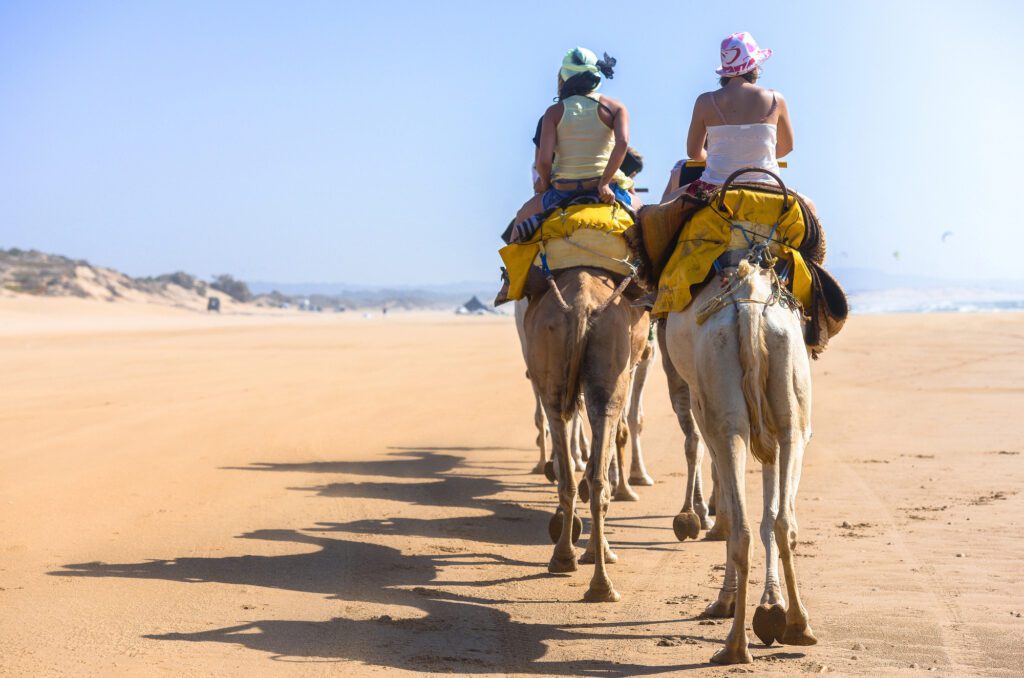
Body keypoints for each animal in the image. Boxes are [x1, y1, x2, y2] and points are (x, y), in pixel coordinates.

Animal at [523, 267, 649, 602]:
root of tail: (580, 306)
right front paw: (598, 550)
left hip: (553, 366)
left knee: (569, 474)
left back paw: (567, 561)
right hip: (611, 364)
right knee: (597, 476)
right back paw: (599, 582)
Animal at [663, 257, 816, 664]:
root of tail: (749, 307)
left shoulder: (703, 409)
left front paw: (730, 601)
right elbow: (769, 513)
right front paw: (771, 605)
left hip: (722, 405)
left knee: (741, 526)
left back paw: (733, 644)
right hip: (789, 395)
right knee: (782, 521)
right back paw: (798, 626)